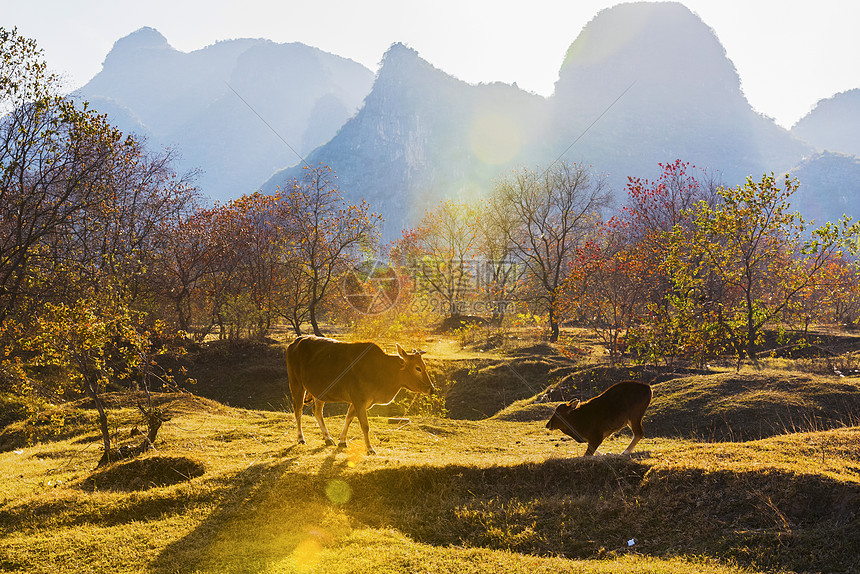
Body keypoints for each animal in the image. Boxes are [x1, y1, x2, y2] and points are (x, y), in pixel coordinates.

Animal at [288, 336, 436, 456]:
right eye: (417, 368)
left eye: (424, 366)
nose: (431, 389)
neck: (382, 370)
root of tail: (296, 341)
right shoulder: (359, 400)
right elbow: (365, 426)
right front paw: (369, 449)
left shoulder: (359, 401)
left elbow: (348, 418)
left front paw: (342, 441)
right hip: (297, 385)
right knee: (298, 410)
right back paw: (301, 438)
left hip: (320, 392)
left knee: (317, 412)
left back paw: (327, 438)